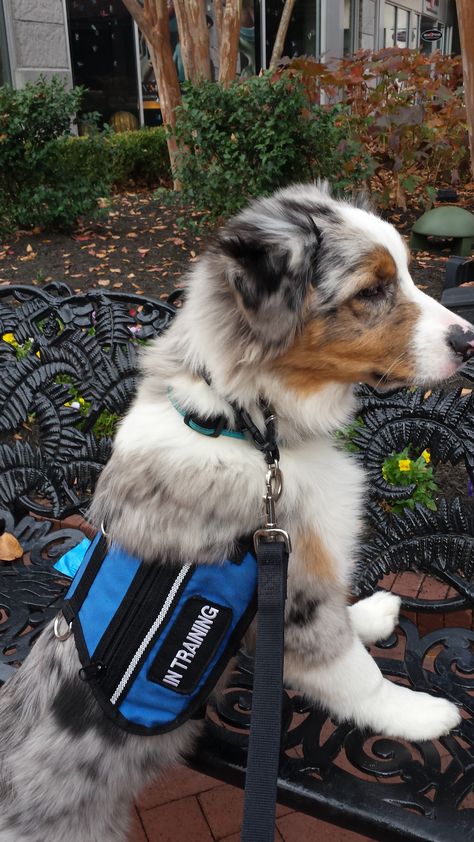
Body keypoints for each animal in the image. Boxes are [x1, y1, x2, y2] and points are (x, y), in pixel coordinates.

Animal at [0, 185, 474, 840]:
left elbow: (344, 622)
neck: (243, 425)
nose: (469, 338)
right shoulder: (294, 588)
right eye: (371, 290)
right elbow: (353, 673)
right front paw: (419, 714)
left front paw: (370, 614)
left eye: (403, 273)